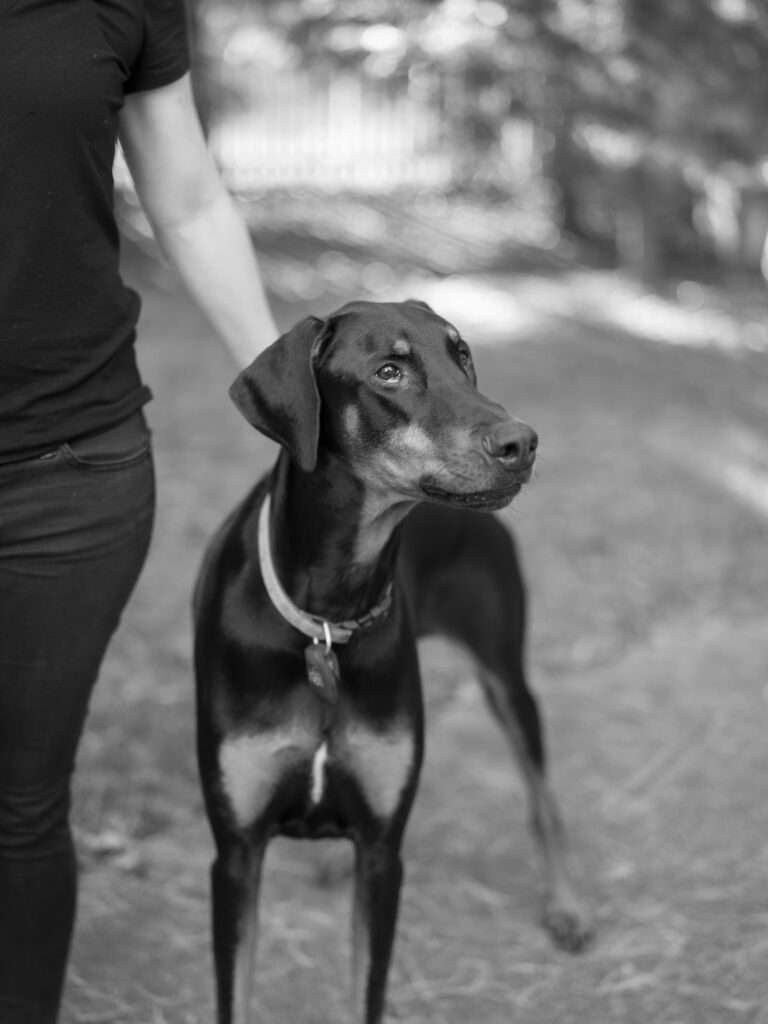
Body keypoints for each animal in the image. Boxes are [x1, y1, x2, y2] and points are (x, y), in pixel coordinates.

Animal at [193, 299, 593, 1024]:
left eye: (462, 355)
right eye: (389, 372)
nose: (522, 442)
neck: (328, 614)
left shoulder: (383, 856)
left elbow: (366, 991)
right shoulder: (235, 854)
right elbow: (235, 990)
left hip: (505, 673)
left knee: (541, 797)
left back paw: (568, 906)